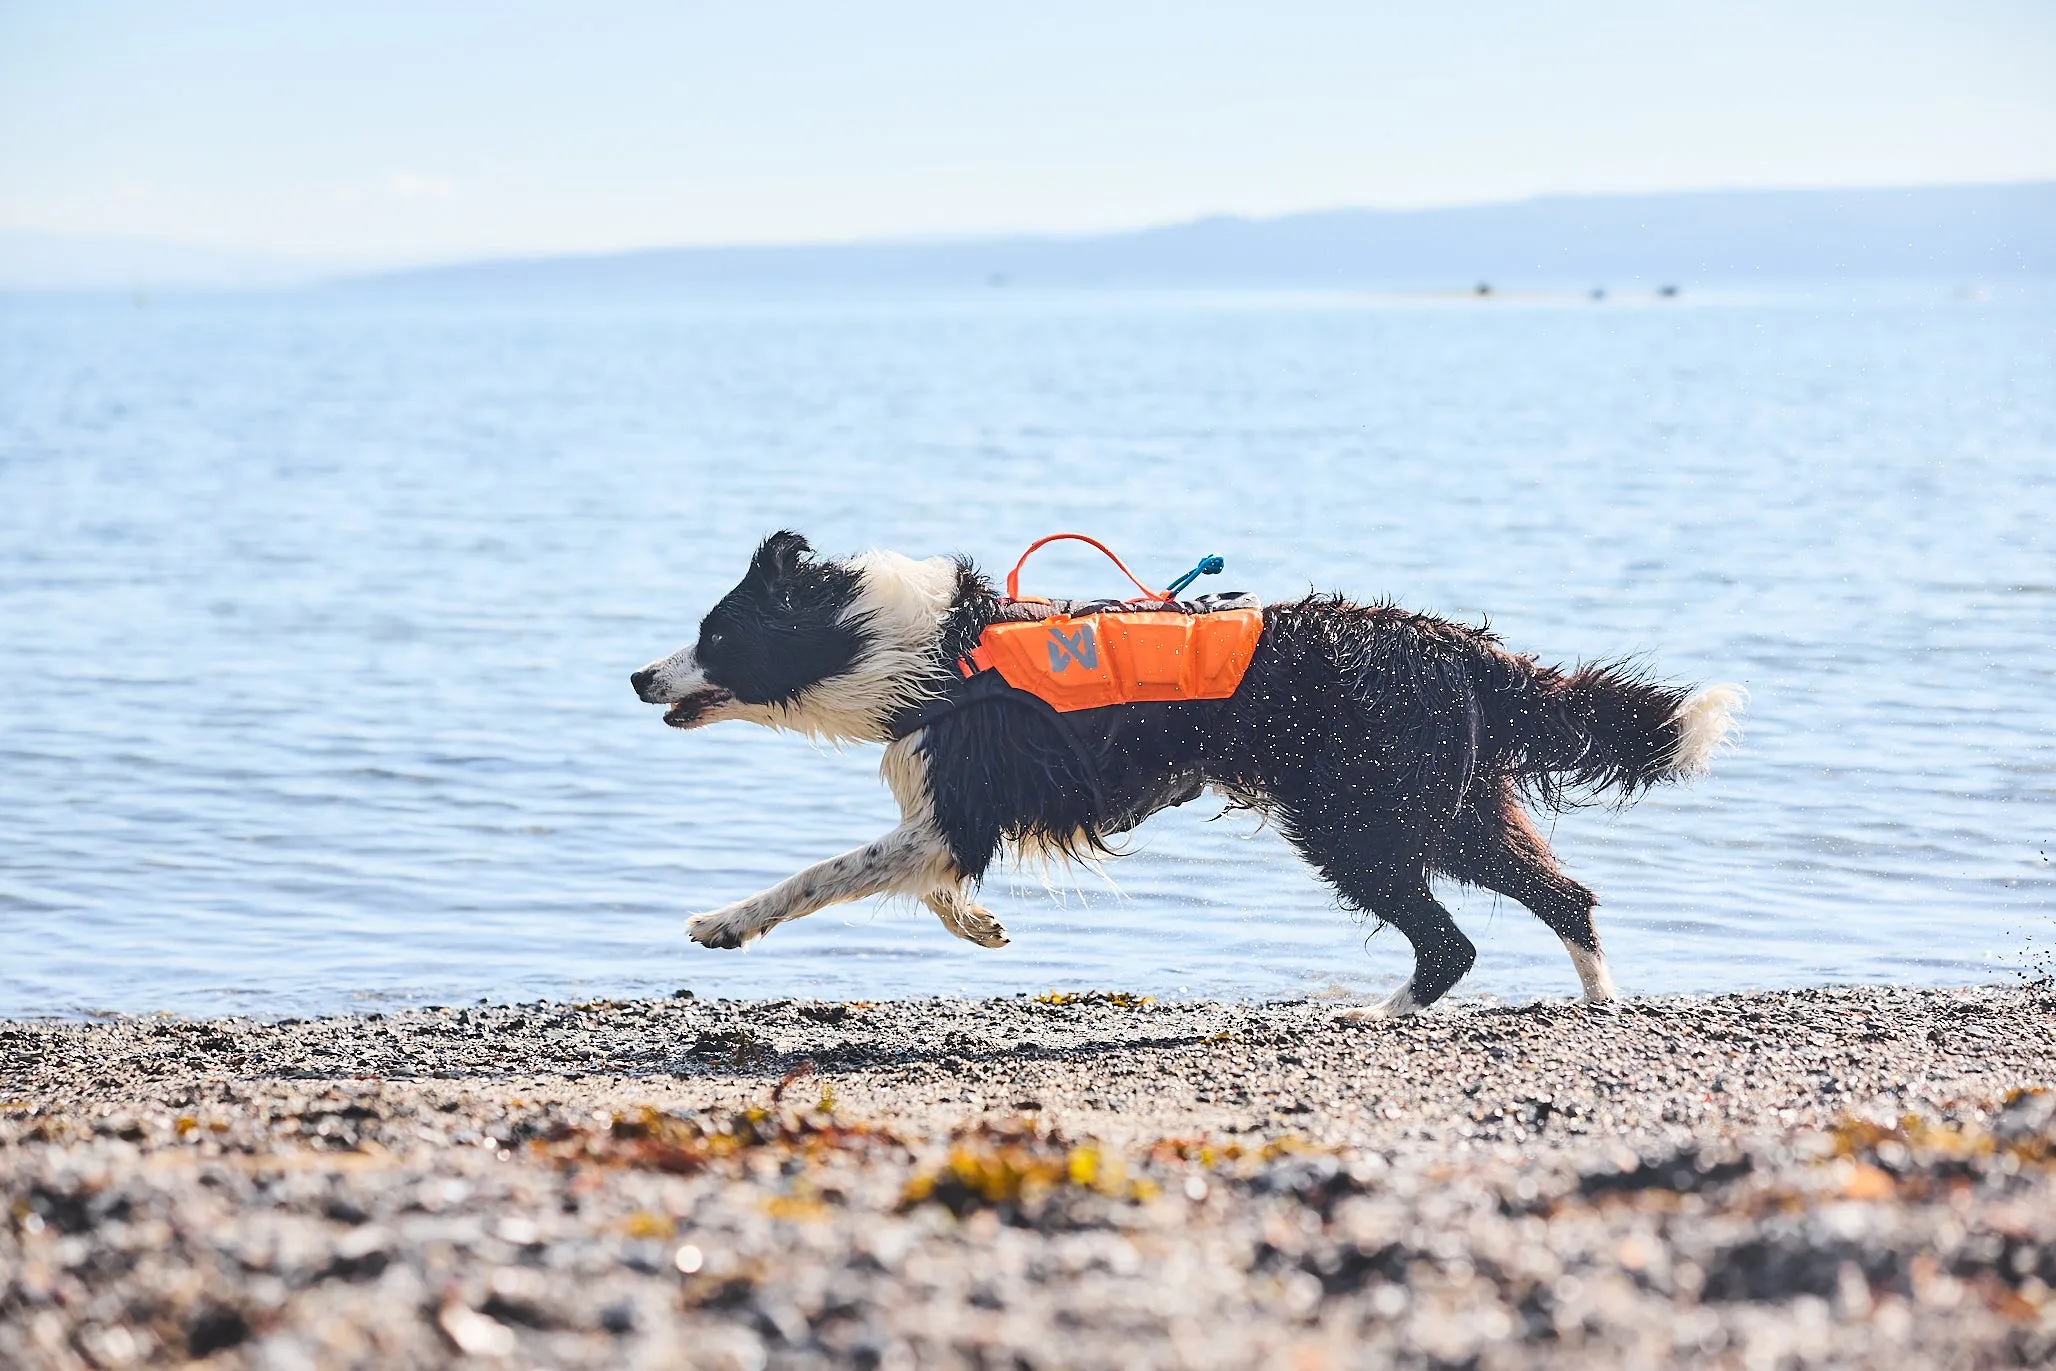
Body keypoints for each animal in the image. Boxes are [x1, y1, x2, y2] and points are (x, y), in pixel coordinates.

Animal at [625, 534, 1735, 1019]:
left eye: (714, 635)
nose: (638, 676)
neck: (913, 646)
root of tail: (1457, 646)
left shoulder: (962, 807)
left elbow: (825, 874)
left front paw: (724, 923)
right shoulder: (956, 816)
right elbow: (927, 884)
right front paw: (981, 925)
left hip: (1354, 823)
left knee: (1451, 940)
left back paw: (1371, 1015)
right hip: (1453, 809)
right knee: (1566, 893)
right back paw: (1599, 998)